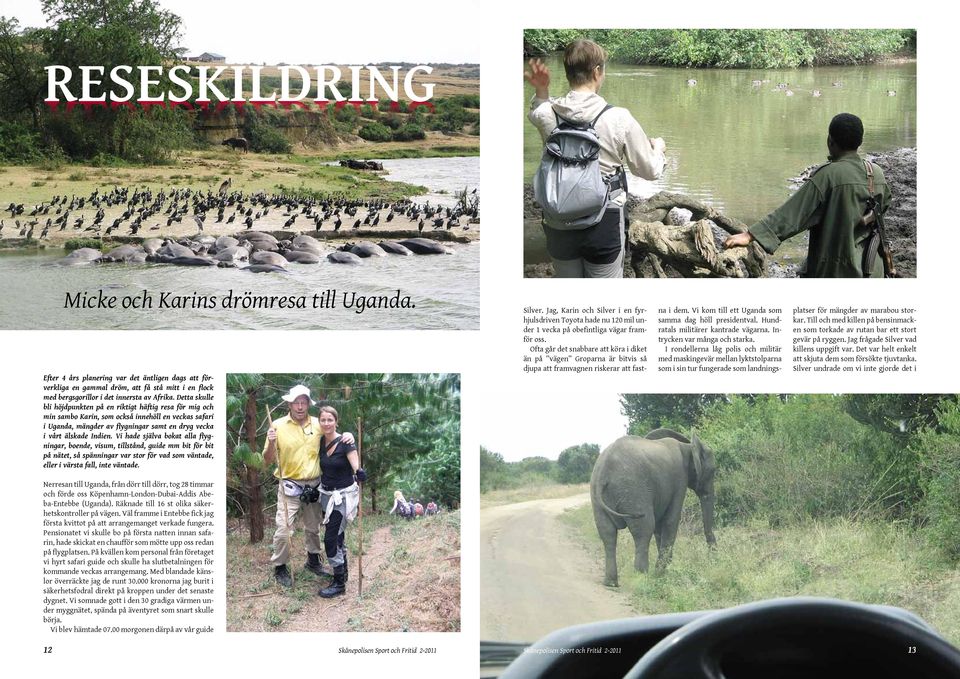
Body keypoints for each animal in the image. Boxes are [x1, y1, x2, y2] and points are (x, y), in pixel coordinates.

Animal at [588, 430, 716, 584]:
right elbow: (670, 520)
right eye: (713, 471)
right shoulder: (679, 479)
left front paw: (661, 572)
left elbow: (660, 527)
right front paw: (660, 574)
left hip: (597, 495)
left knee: (607, 533)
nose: (712, 559)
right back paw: (643, 578)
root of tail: (604, 473)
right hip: (634, 491)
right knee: (644, 529)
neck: (687, 446)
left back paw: (611, 583)